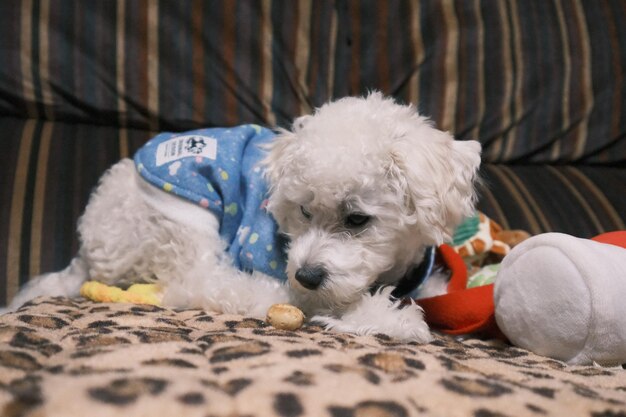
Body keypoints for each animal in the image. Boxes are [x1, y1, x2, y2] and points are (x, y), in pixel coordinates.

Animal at [4, 92, 480, 342]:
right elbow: (339, 302)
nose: (305, 275)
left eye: (358, 219)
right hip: (184, 220)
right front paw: (392, 318)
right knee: (201, 284)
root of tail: (88, 246)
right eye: (304, 210)